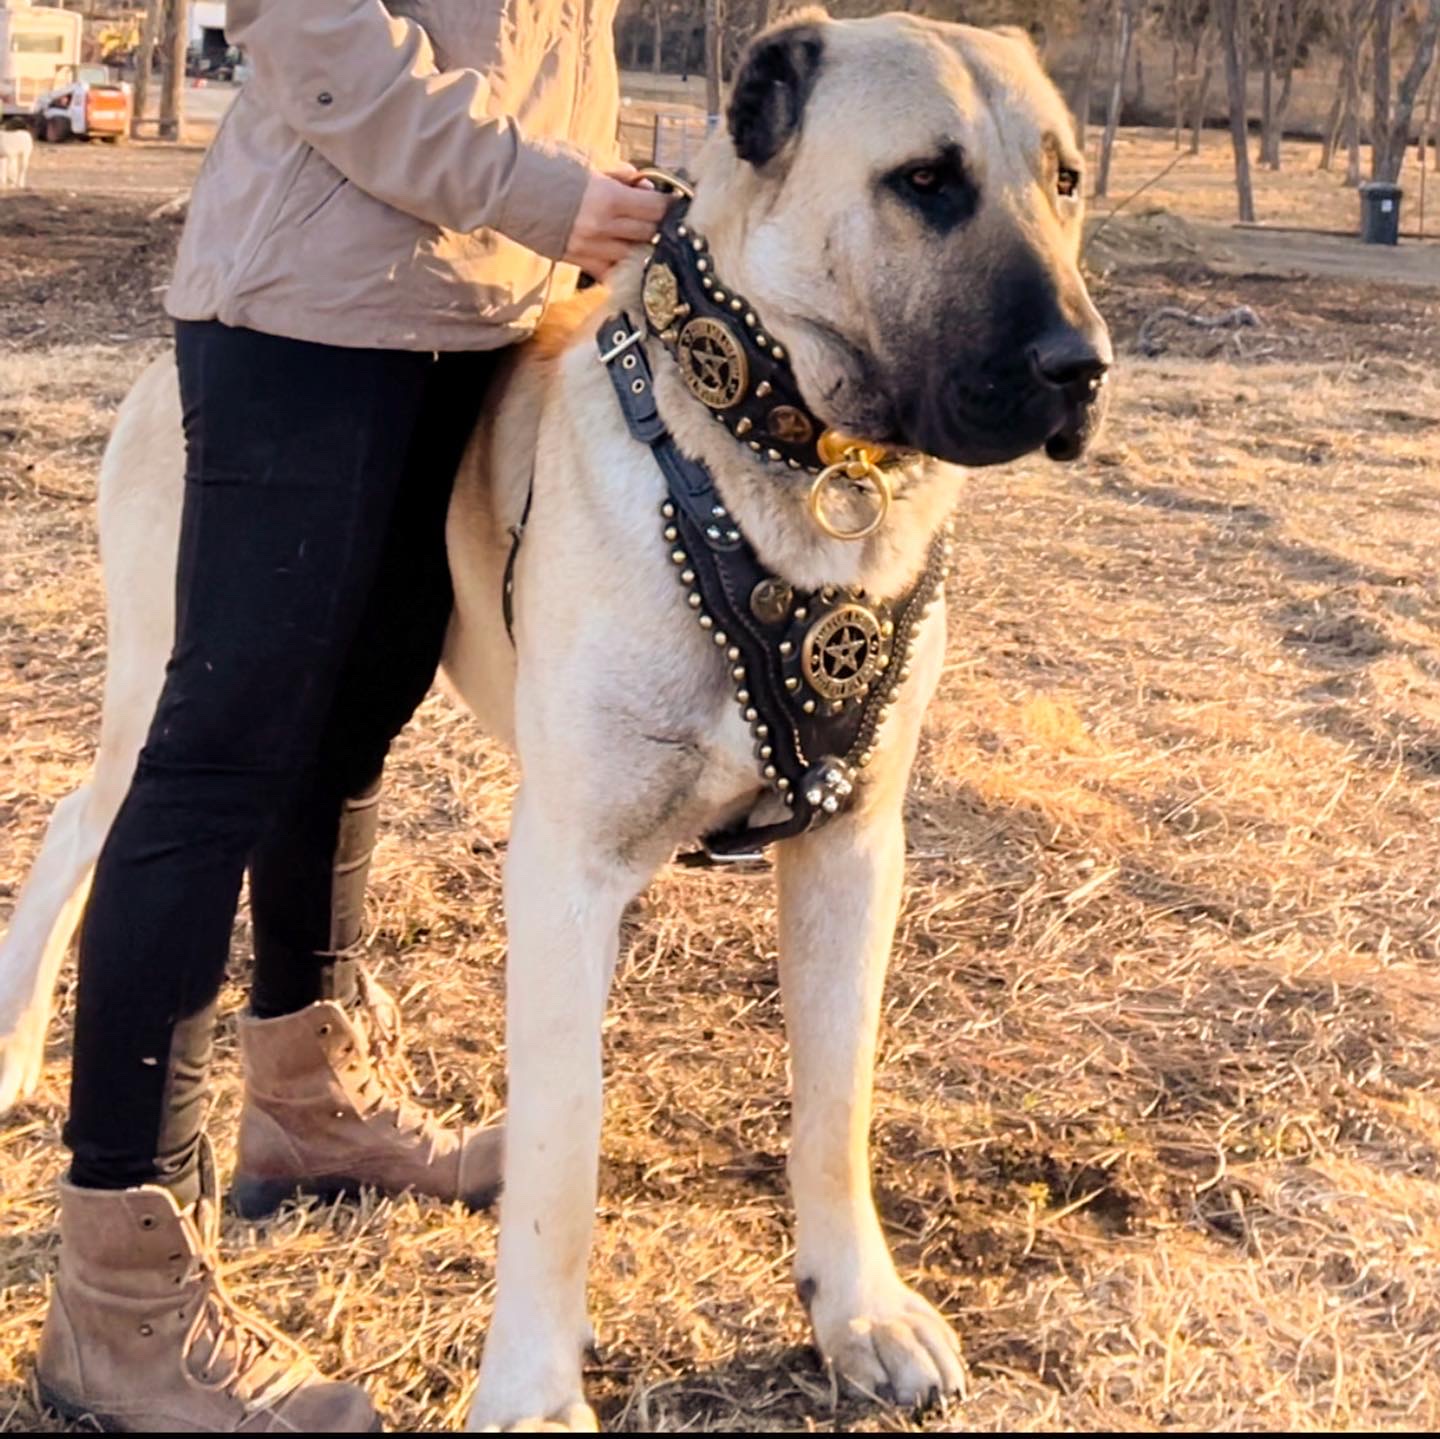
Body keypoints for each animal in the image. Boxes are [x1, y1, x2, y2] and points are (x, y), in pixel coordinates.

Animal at [0, 11, 1111, 1428]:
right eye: (925, 181)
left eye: (1066, 180)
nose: (1083, 369)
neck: (789, 457)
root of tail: (162, 364)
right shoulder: (569, 869)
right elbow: (562, 1150)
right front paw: (532, 1386)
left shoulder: (855, 844)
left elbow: (836, 1097)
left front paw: (856, 1310)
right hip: (175, 687)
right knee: (78, 829)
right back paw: (15, 1049)